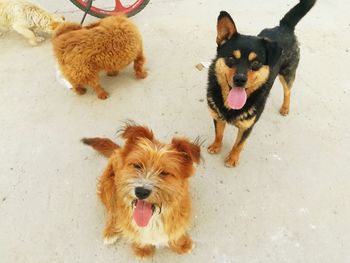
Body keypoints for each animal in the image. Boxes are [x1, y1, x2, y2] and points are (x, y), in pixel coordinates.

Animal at [82, 125, 201, 260]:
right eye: (137, 165)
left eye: (164, 173)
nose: (141, 192)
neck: (152, 219)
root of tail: (118, 151)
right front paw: (142, 250)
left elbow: (176, 230)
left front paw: (182, 244)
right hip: (108, 186)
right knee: (112, 212)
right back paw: (110, 231)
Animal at [206, 0, 316, 168]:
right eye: (231, 59)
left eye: (256, 63)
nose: (240, 79)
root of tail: (284, 26)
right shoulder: (217, 116)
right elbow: (219, 133)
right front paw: (216, 146)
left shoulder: (248, 126)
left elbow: (239, 144)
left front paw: (232, 158)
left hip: (288, 74)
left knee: (288, 92)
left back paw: (285, 107)